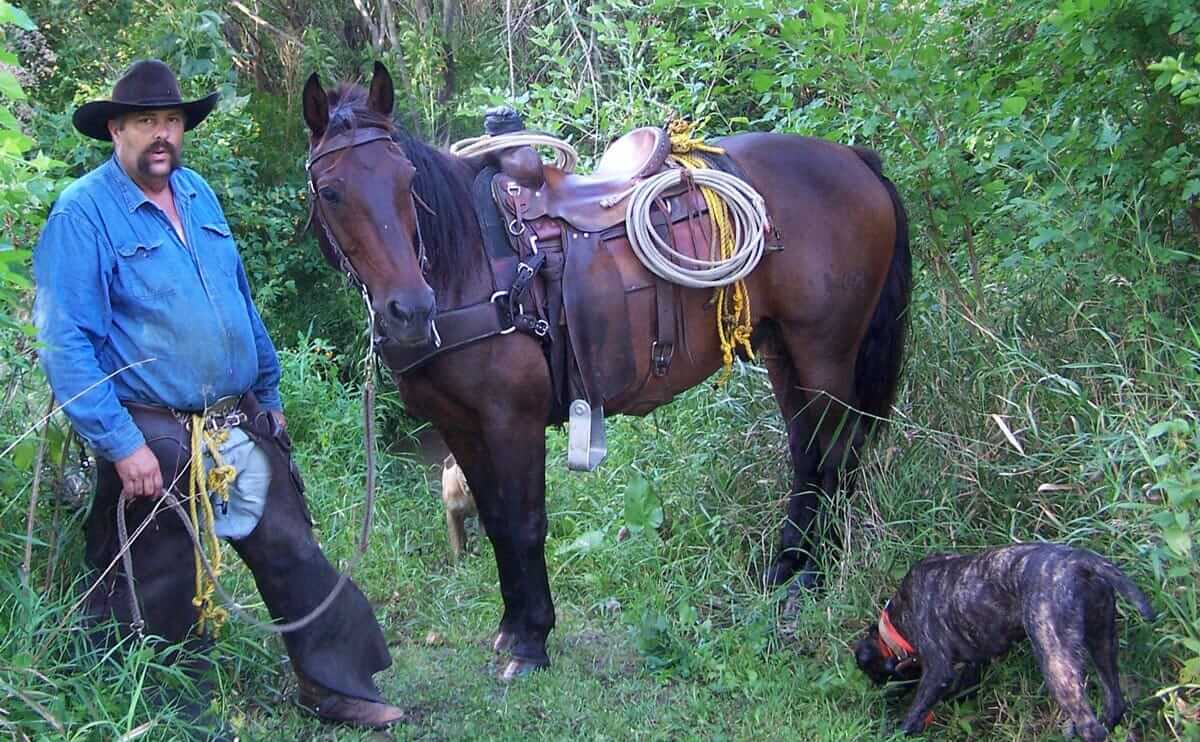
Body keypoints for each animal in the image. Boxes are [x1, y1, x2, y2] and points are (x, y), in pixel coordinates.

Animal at [300, 63, 907, 677]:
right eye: (330, 191)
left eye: (407, 183)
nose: (409, 310)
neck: (469, 263)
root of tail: (855, 160)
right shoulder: (459, 424)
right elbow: (493, 519)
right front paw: (511, 626)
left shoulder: (510, 418)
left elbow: (523, 521)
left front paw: (532, 640)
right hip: (784, 348)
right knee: (807, 452)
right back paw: (785, 567)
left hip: (825, 349)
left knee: (834, 454)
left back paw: (811, 578)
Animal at [854, 540, 1152, 734]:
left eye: (876, 676)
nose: (880, 699)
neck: (897, 624)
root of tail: (1080, 561)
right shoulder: (972, 664)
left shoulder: (938, 671)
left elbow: (916, 709)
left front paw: (895, 731)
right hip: (1103, 643)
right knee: (1115, 704)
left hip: (1057, 664)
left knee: (1090, 726)